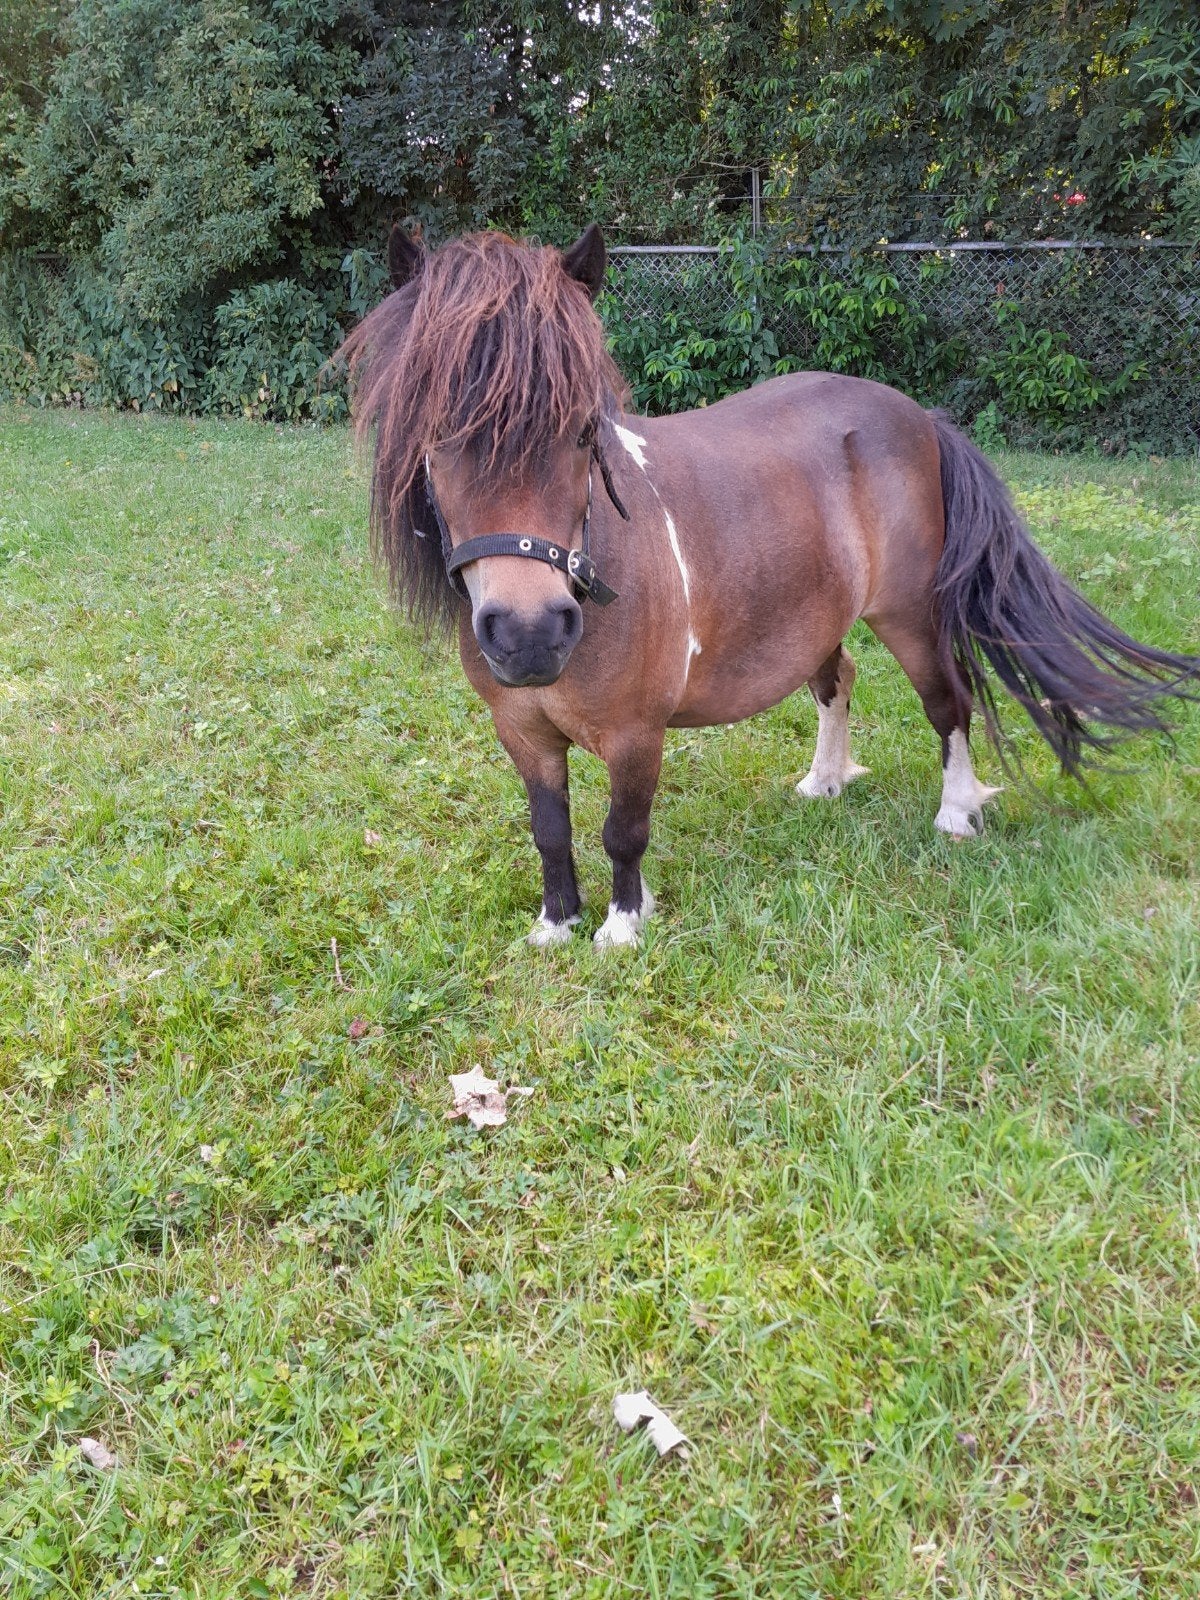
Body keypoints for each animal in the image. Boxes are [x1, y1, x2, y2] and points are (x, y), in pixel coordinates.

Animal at [341, 223, 1199, 949]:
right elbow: (550, 830)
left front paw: (622, 927)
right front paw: (556, 925)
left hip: (910, 616)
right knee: (836, 679)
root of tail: (919, 416)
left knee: (947, 702)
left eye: (584, 429)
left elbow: (624, 828)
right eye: (435, 436)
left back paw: (957, 812)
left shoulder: (637, 734)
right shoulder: (521, 731)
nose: (528, 635)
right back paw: (825, 781)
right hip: (816, 615)